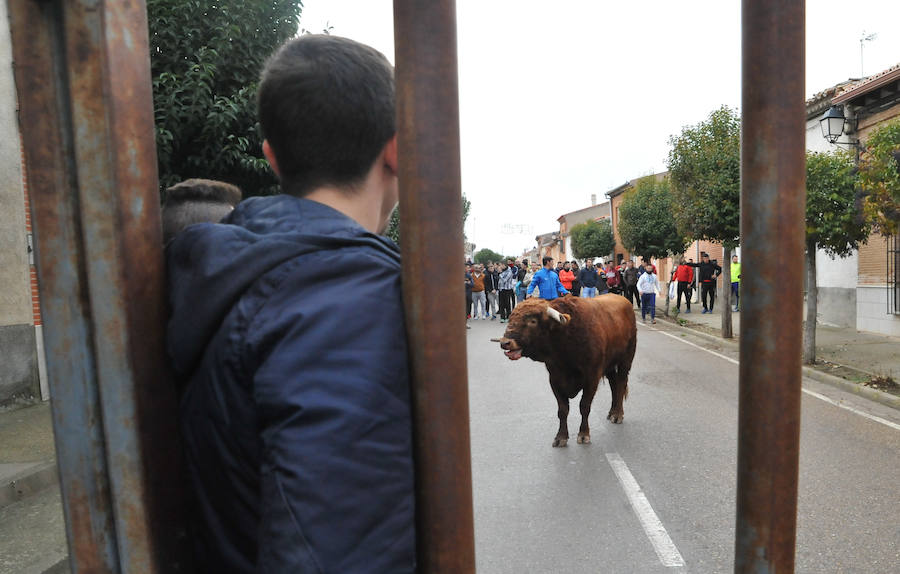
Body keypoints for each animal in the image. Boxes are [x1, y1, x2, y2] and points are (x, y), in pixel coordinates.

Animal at [496, 296, 636, 450]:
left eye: (532, 321)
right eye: (511, 318)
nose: (505, 342)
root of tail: (623, 300)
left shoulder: (592, 378)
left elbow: (584, 406)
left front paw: (583, 434)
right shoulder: (555, 380)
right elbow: (562, 410)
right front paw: (561, 437)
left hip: (626, 360)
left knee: (621, 383)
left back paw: (618, 414)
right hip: (610, 365)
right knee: (613, 384)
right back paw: (612, 412)